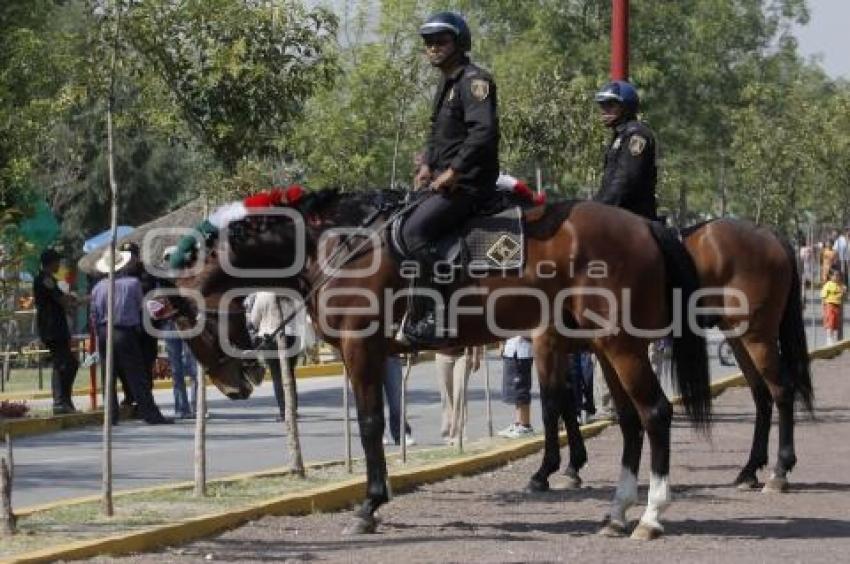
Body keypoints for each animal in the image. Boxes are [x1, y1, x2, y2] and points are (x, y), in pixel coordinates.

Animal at [166, 192, 708, 540]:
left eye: (186, 319)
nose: (235, 385)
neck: (337, 248)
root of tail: (645, 224)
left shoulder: (361, 349)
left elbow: (370, 423)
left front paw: (370, 505)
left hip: (619, 344)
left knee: (655, 412)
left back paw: (651, 515)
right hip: (604, 344)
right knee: (631, 419)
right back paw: (616, 511)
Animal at [528, 217, 816, 498]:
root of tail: (768, 234)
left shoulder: (547, 343)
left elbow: (551, 405)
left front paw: (544, 471)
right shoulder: (560, 349)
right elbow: (565, 402)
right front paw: (572, 465)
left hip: (757, 337)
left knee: (782, 390)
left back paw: (780, 470)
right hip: (738, 337)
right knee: (761, 395)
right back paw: (750, 470)